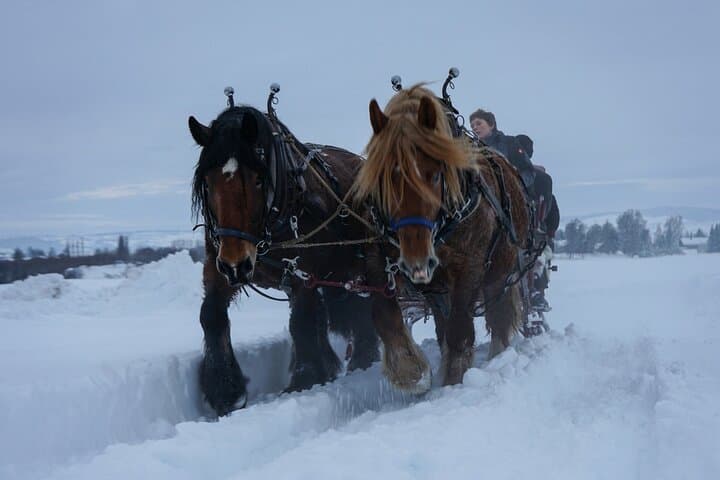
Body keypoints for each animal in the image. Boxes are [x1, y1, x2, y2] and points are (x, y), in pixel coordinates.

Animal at [188, 104, 382, 416]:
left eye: (257, 179)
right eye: (208, 181)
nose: (237, 264)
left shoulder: (303, 272)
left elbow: (301, 322)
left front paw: (305, 378)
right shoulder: (217, 265)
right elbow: (211, 314)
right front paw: (225, 390)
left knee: (362, 311)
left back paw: (362, 360)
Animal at [352, 84, 531, 385]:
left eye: (436, 176)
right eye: (382, 179)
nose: (417, 260)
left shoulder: (470, 266)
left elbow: (460, 329)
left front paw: (452, 382)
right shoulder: (381, 260)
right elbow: (384, 315)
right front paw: (412, 373)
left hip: (499, 270)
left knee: (497, 316)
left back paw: (497, 356)